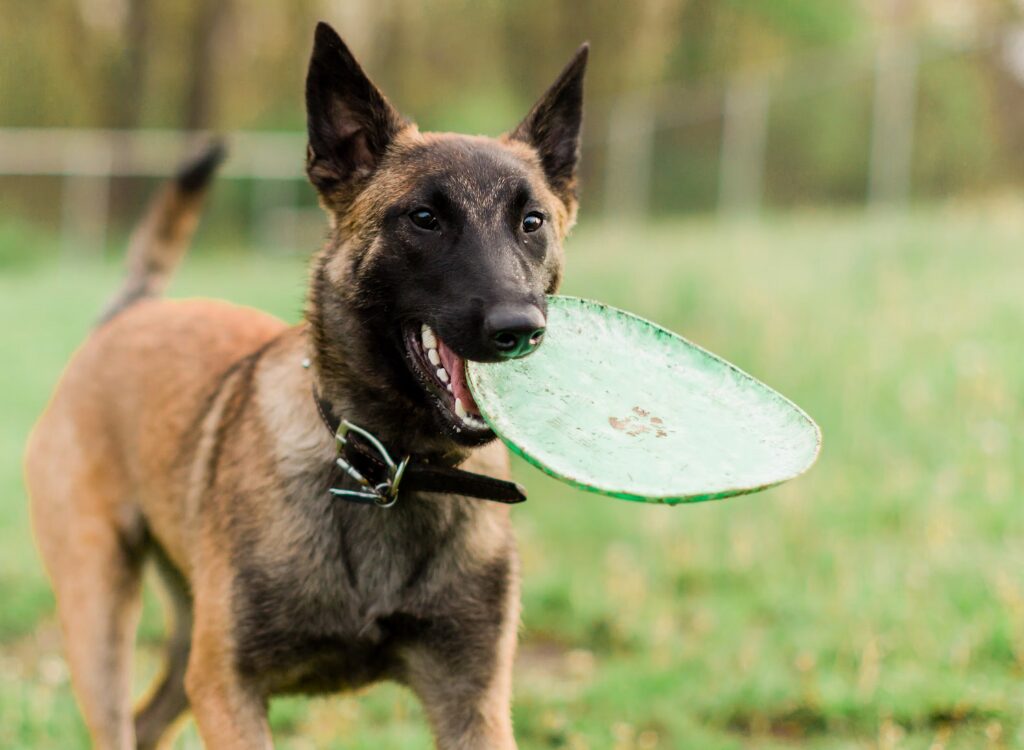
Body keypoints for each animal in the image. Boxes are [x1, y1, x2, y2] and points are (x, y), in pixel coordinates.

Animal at [24, 20, 589, 745]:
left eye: (532, 221)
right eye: (424, 219)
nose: (519, 328)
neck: (388, 470)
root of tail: (129, 315)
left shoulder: (473, 700)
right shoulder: (227, 688)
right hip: (101, 617)